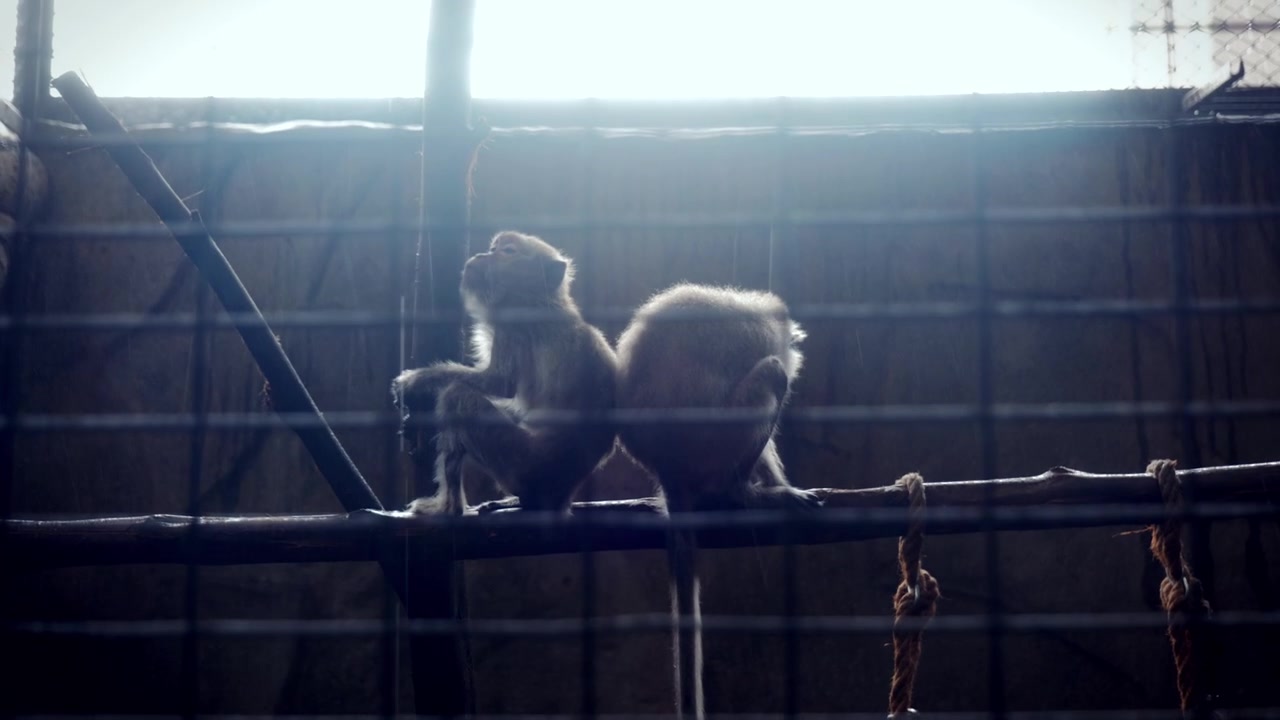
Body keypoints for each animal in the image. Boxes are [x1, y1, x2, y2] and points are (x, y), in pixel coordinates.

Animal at [391, 230, 618, 515]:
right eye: (493, 248)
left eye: (508, 252)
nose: (482, 255)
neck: (538, 300)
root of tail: (563, 493)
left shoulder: (512, 326)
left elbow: (499, 383)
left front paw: (415, 381)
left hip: (524, 465)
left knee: (456, 396)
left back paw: (451, 506)